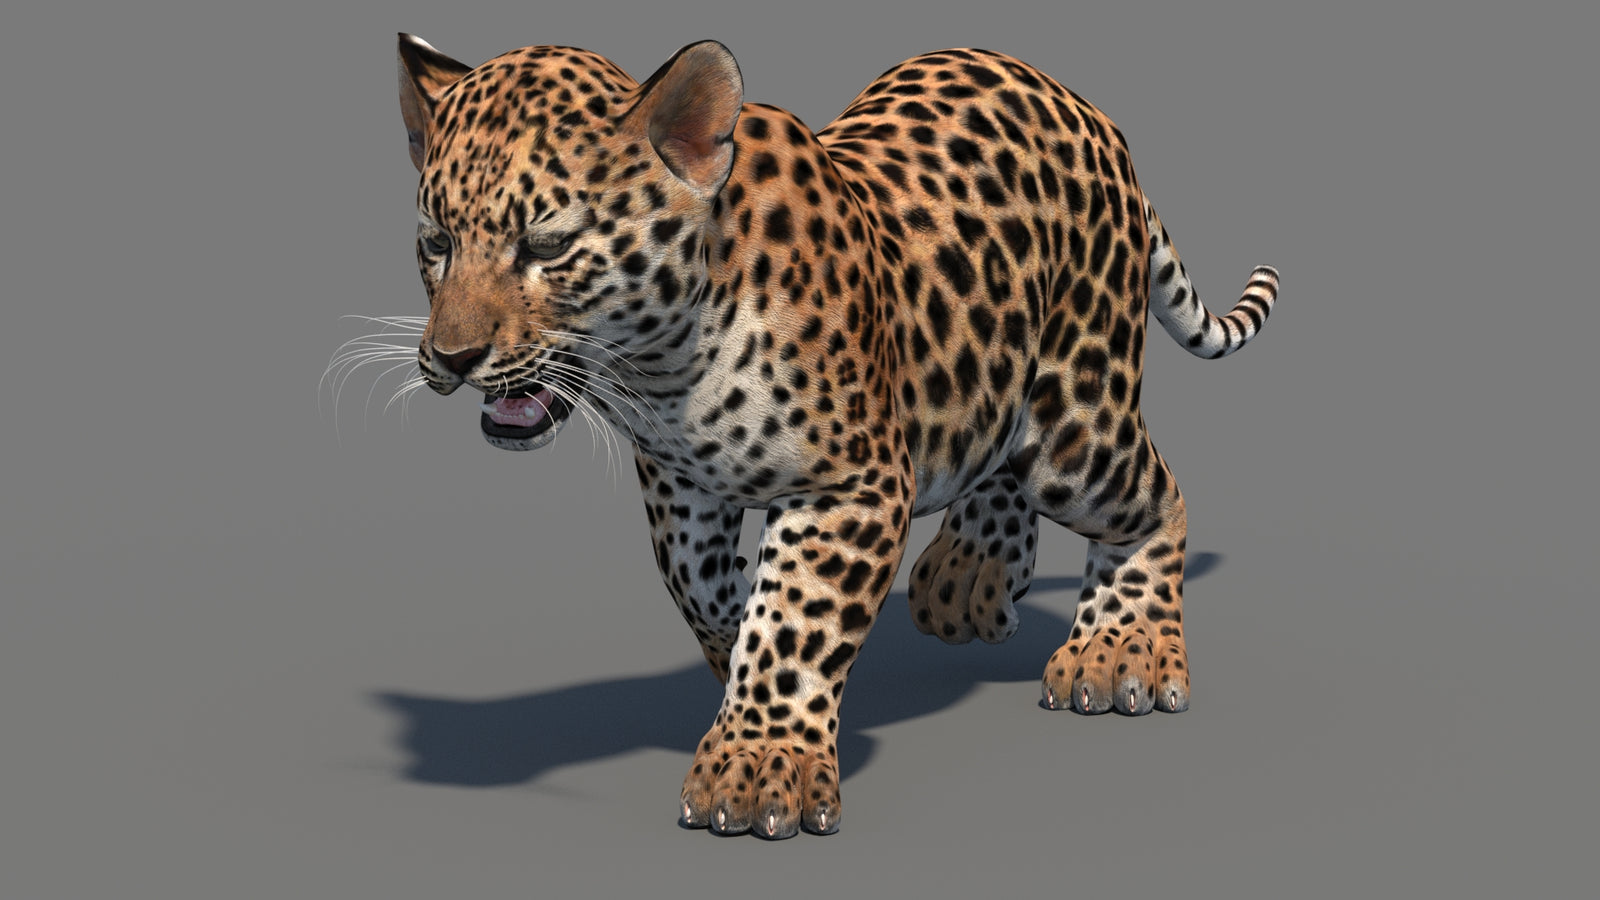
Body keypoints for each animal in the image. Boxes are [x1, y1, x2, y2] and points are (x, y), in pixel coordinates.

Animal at [392, 33, 1278, 839]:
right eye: (436, 243)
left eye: (546, 246)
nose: (452, 358)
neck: (662, 368)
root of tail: (1093, 115)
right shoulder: (681, 483)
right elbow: (699, 583)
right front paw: (734, 656)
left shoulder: (854, 481)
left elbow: (793, 616)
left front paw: (756, 765)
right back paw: (973, 575)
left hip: (1076, 418)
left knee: (1155, 495)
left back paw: (1122, 649)